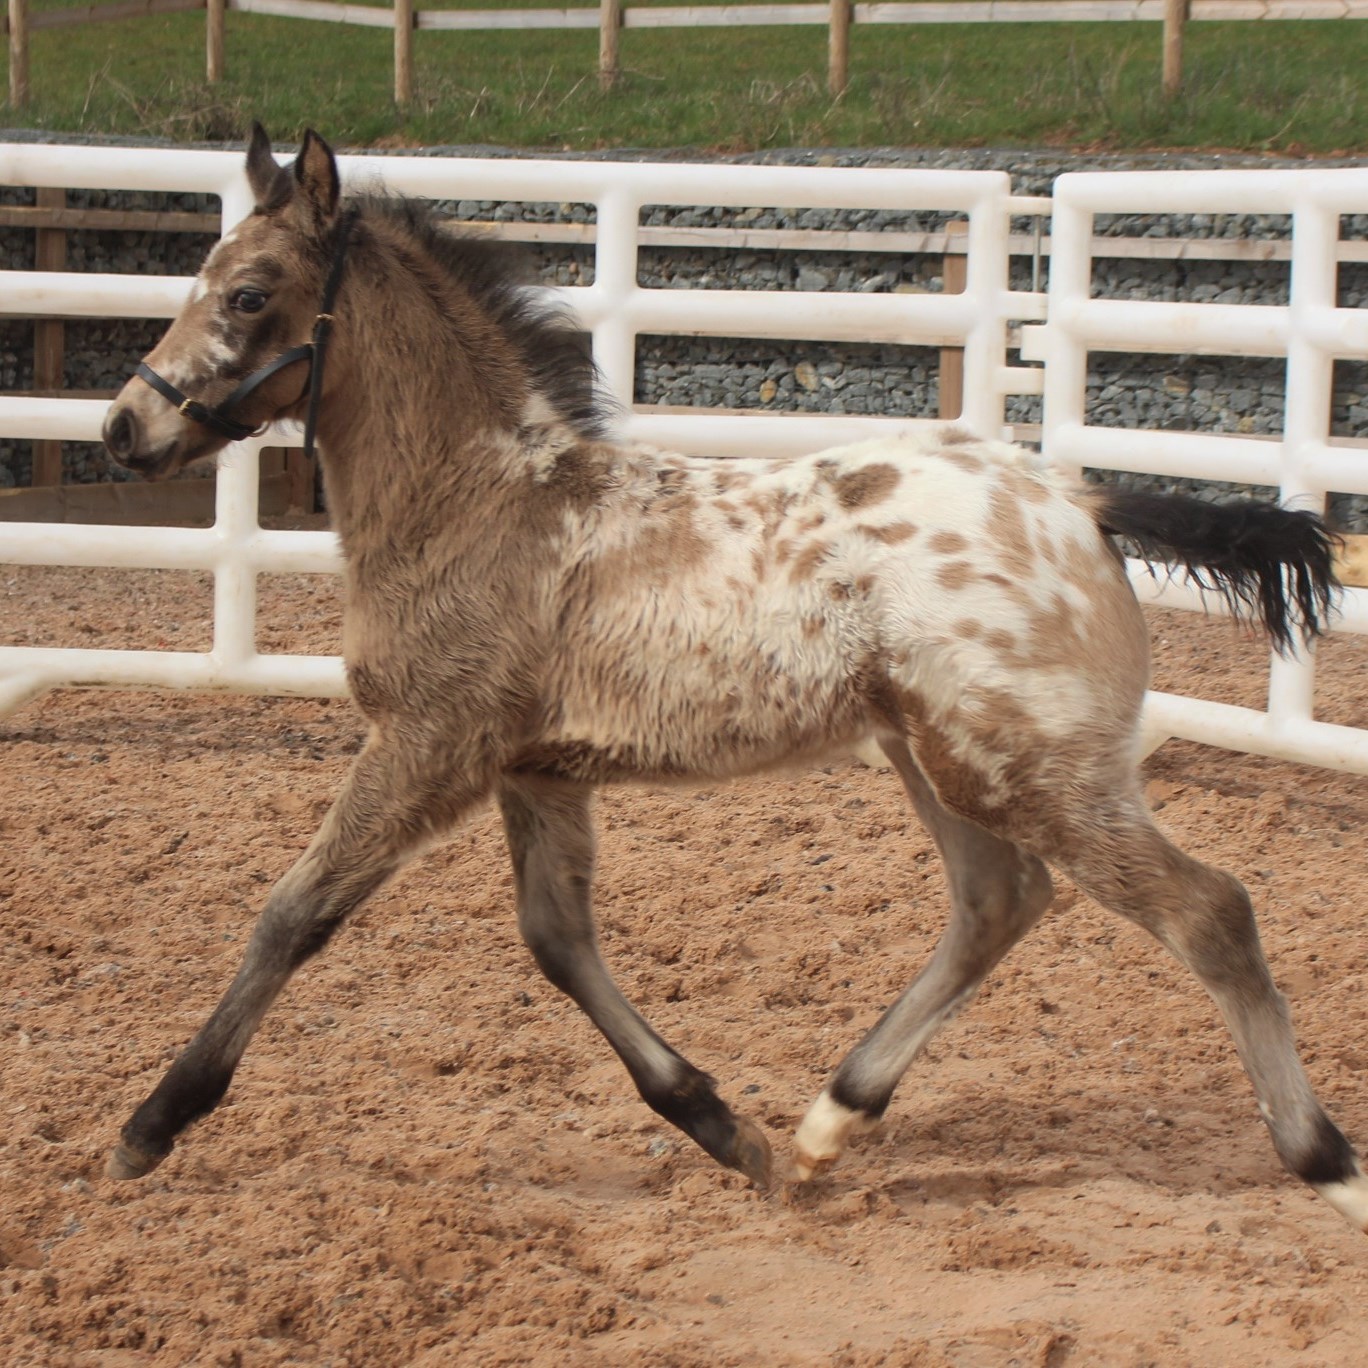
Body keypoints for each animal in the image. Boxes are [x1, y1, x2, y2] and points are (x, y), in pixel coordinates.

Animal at [99, 128, 1368, 1236]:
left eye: (248, 293)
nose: (124, 428)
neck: (485, 503)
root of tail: (1082, 500)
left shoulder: (427, 745)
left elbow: (293, 913)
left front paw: (150, 1126)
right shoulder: (535, 770)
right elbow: (557, 941)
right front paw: (720, 1127)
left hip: (1033, 769)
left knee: (1209, 911)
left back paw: (1327, 1164)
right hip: (940, 759)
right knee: (998, 903)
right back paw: (821, 1130)